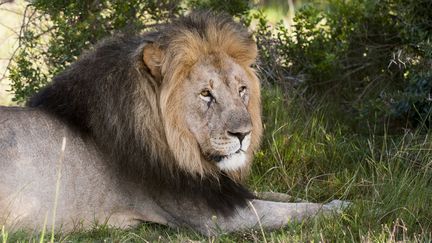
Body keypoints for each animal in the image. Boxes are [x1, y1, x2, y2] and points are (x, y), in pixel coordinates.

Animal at [0, 11, 346, 235]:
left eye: (241, 90)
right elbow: (291, 211)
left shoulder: (222, 190)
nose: (244, 134)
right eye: (206, 94)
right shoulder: (213, 217)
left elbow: (278, 196)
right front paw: (340, 208)